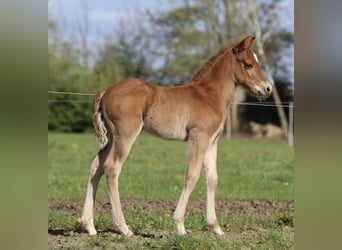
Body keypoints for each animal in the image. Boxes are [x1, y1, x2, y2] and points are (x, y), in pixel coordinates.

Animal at [81, 35, 272, 236]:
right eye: (248, 64)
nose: (267, 89)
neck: (209, 94)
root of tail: (106, 90)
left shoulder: (212, 141)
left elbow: (212, 178)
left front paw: (216, 228)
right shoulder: (198, 137)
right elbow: (192, 175)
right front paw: (180, 225)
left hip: (111, 137)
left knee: (96, 164)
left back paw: (89, 225)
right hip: (125, 135)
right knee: (112, 167)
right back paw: (123, 228)